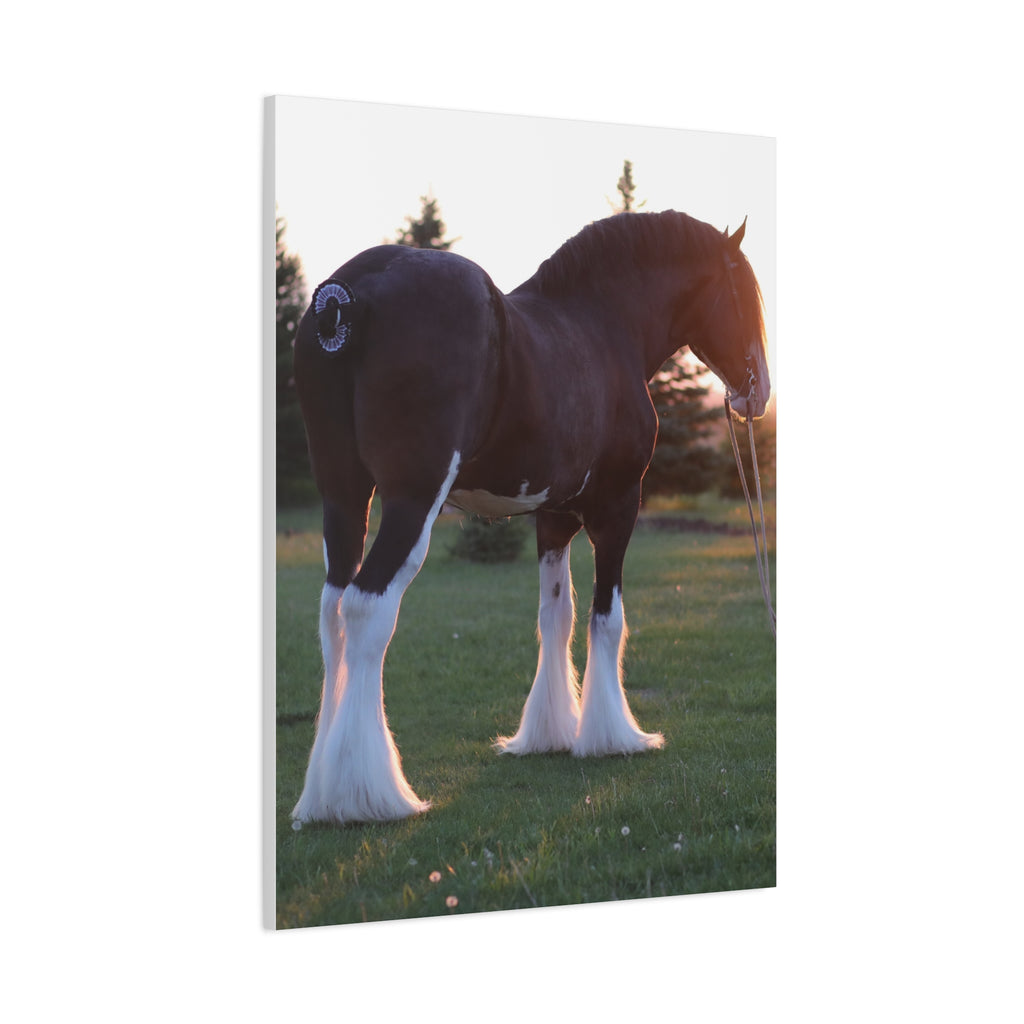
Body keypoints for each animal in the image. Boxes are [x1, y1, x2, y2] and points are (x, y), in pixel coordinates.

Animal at [289, 209, 770, 826]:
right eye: (746, 291)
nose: (758, 393)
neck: (601, 325)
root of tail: (345, 295)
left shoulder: (553, 517)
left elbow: (555, 617)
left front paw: (549, 733)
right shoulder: (619, 506)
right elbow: (607, 618)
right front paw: (612, 737)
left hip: (345, 495)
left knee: (332, 612)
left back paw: (320, 795)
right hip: (411, 500)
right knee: (367, 608)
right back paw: (367, 796)